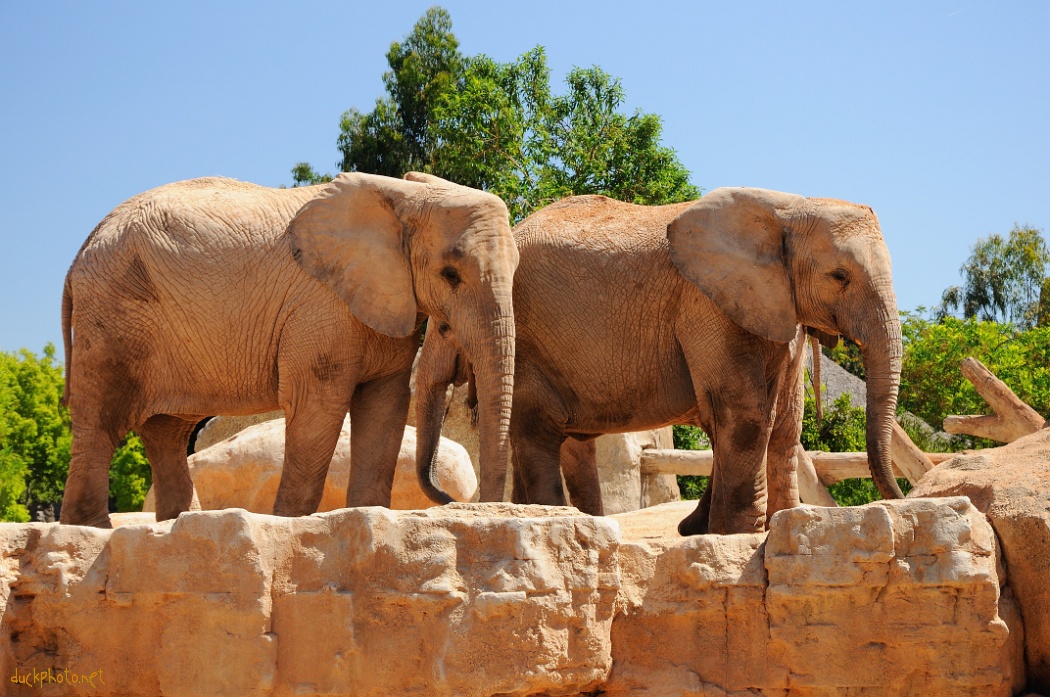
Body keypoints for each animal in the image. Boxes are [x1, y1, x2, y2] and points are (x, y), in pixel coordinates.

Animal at [60, 171, 516, 524]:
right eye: (450, 274)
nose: (458, 501)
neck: (404, 195)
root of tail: (81, 251)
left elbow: (384, 407)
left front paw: (366, 515)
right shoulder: (318, 308)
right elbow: (318, 405)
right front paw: (292, 523)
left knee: (166, 432)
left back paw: (179, 523)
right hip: (111, 317)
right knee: (100, 423)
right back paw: (91, 529)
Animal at [413, 184, 907, 533]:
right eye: (840, 276)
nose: (897, 497)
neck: (787, 206)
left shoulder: (774, 307)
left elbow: (782, 421)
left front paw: (763, 527)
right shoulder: (706, 303)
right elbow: (743, 412)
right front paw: (734, 535)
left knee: (568, 440)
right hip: (531, 341)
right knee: (539, 432)